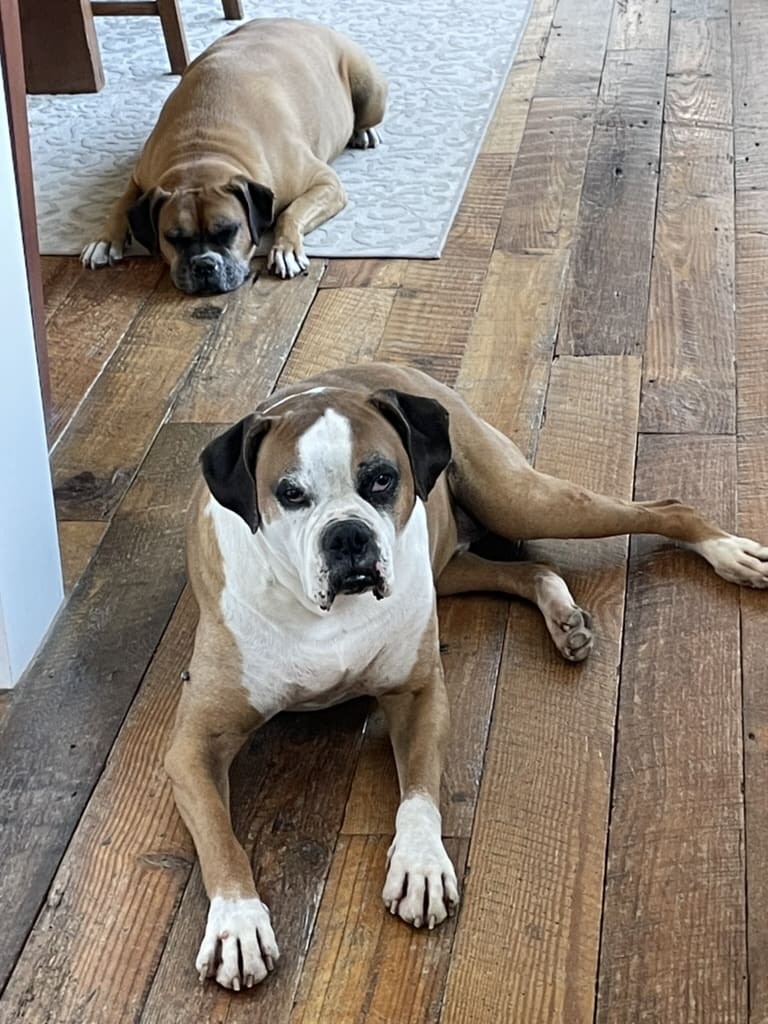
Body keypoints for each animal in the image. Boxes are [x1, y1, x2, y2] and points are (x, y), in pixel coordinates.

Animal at [81, 18, 387, 292]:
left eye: (229, 231)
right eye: (174, 238)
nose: (204, 264)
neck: (202, 148)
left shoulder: (326, 183)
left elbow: (292, 212)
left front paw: (285, 249)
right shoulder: (140, 178)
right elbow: (120, 203)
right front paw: (104, 240)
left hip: (369, 90)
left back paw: (364, 132)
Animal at [167, 364, 768, 987]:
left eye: (381, 479)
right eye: (289, 494)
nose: (348, 535)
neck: (323, 617)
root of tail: (386, 367)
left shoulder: (417, 695)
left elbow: (419, 794)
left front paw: (420, 864)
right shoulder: (193, 748)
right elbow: (221, 838)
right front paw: (237, 923)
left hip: (523, 502)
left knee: (665, 507)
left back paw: (730, 552)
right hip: (454, 561)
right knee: (532, 568)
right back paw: (563, 618)